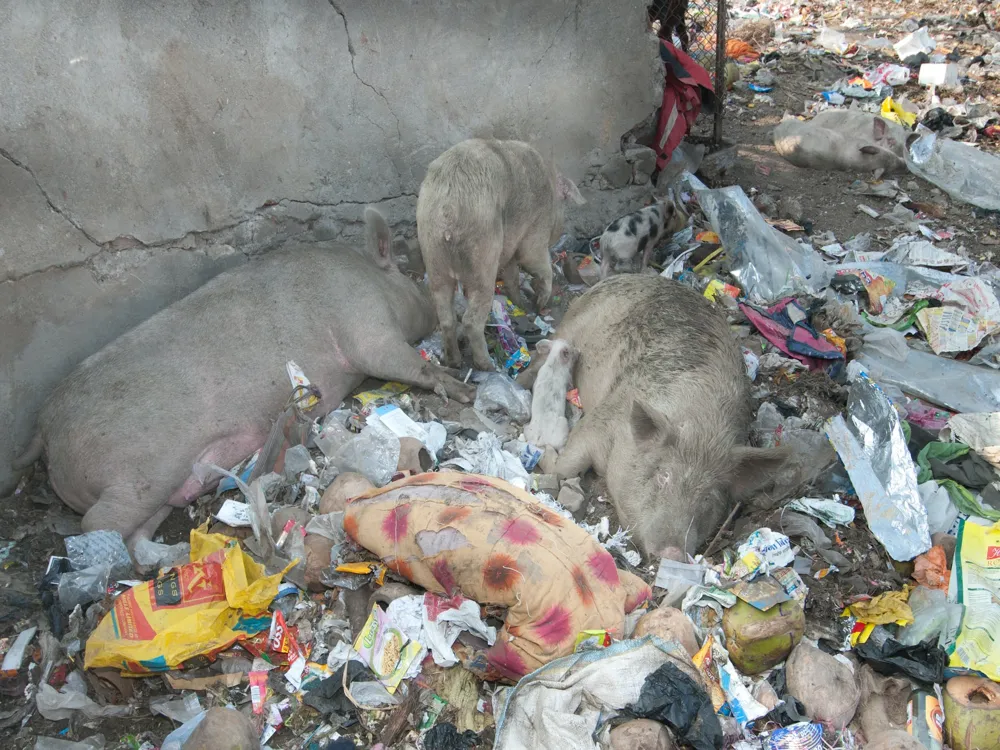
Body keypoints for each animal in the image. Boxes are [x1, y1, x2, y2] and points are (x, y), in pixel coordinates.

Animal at [10, 206, 472, 552]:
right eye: (411, 278)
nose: (441, 312)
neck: (372, 277)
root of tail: (44, 431)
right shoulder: (365, 324)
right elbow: (400, 361)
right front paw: (462, 387)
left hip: (159, 489)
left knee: (138, 529)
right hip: (137, 474)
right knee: (96, 522)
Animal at [416, 138, 584, 374]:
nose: (561, 230)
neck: (550, 185)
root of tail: (447, 210)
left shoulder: (510, 248)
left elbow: (512, 276)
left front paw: (522, 305)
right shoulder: (535, 229)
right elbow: (536, 261)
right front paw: (539, 303)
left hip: (432, 251)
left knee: (446, 315)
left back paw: (454, 362)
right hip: (482, 251)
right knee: (471, 318)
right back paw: (488, 366)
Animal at [524, 274, 788, 560]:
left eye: (708, 498)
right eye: (663, 476)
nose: (673, 553)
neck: (702, 428)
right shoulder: (601, 418)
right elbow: (567, 465)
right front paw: (544, 454)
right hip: (569, 329)